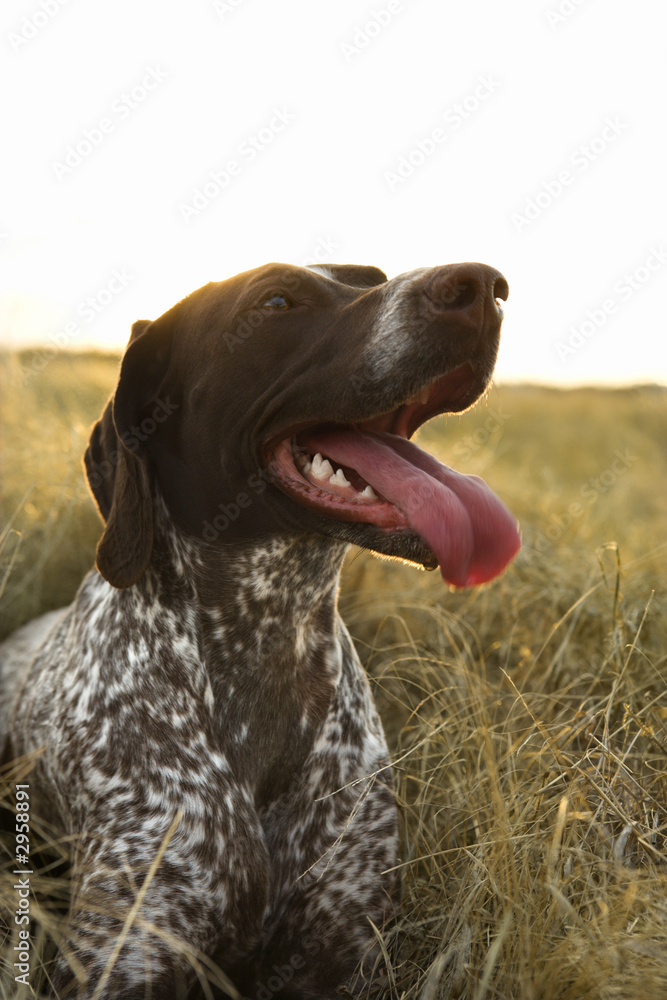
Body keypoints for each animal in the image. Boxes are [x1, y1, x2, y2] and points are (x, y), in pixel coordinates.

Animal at [0, 262, 520, 996]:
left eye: (373, 276)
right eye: (276, 301)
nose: (482, 285)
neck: (268, 642)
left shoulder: (343, 952)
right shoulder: (126, 954)